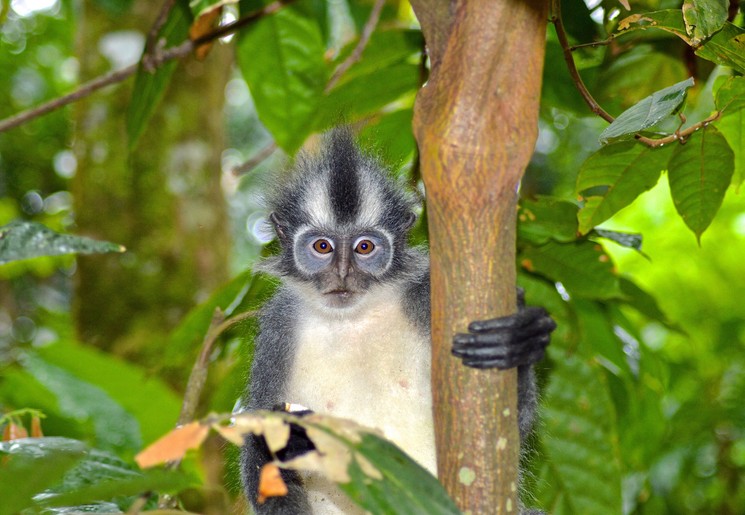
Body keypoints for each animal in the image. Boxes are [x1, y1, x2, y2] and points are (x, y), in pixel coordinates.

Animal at [240, 129, 555, 514]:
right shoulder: (278, 328)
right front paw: (281, 441)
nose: (342, 275)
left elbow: (509, 435)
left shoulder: (427, 298)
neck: (352, 319)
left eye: (364, 248)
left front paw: (516, 339)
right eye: (322, 247)